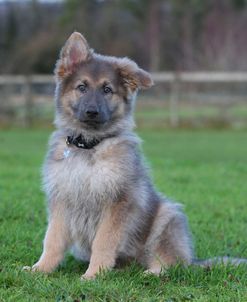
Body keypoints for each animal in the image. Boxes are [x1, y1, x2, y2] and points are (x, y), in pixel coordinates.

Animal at [23, 32, 247, 278]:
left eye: (107, 90)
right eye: (81, 87)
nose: (92, 112)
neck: (90, 146)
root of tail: (194, 260)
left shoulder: (118, 201)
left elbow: (103, 241)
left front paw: (93, 275)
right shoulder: (62, 199)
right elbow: (52, 239)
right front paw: (40, 269)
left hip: (168, 216)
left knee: (174, 262)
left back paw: (151, 272)